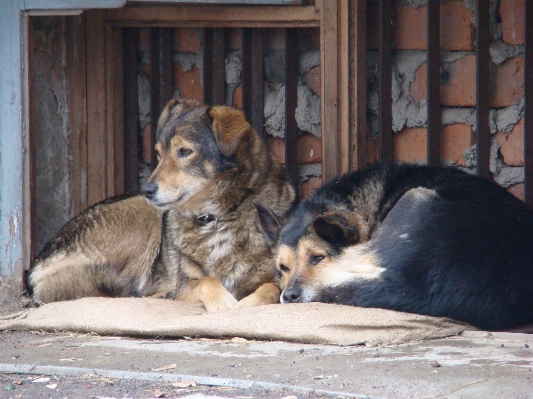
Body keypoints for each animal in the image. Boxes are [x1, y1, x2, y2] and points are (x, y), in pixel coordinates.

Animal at [27, 99, 298, 312]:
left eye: (185, 152)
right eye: (159, 154)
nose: (147, 190)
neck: (215, 218)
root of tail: (35, 266)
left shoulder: (277, 275)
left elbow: (271, 288)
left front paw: (247, 304)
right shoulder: (187, 283)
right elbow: (207, 282)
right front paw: (224, 303)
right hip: (145, 216)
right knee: (131, 293)